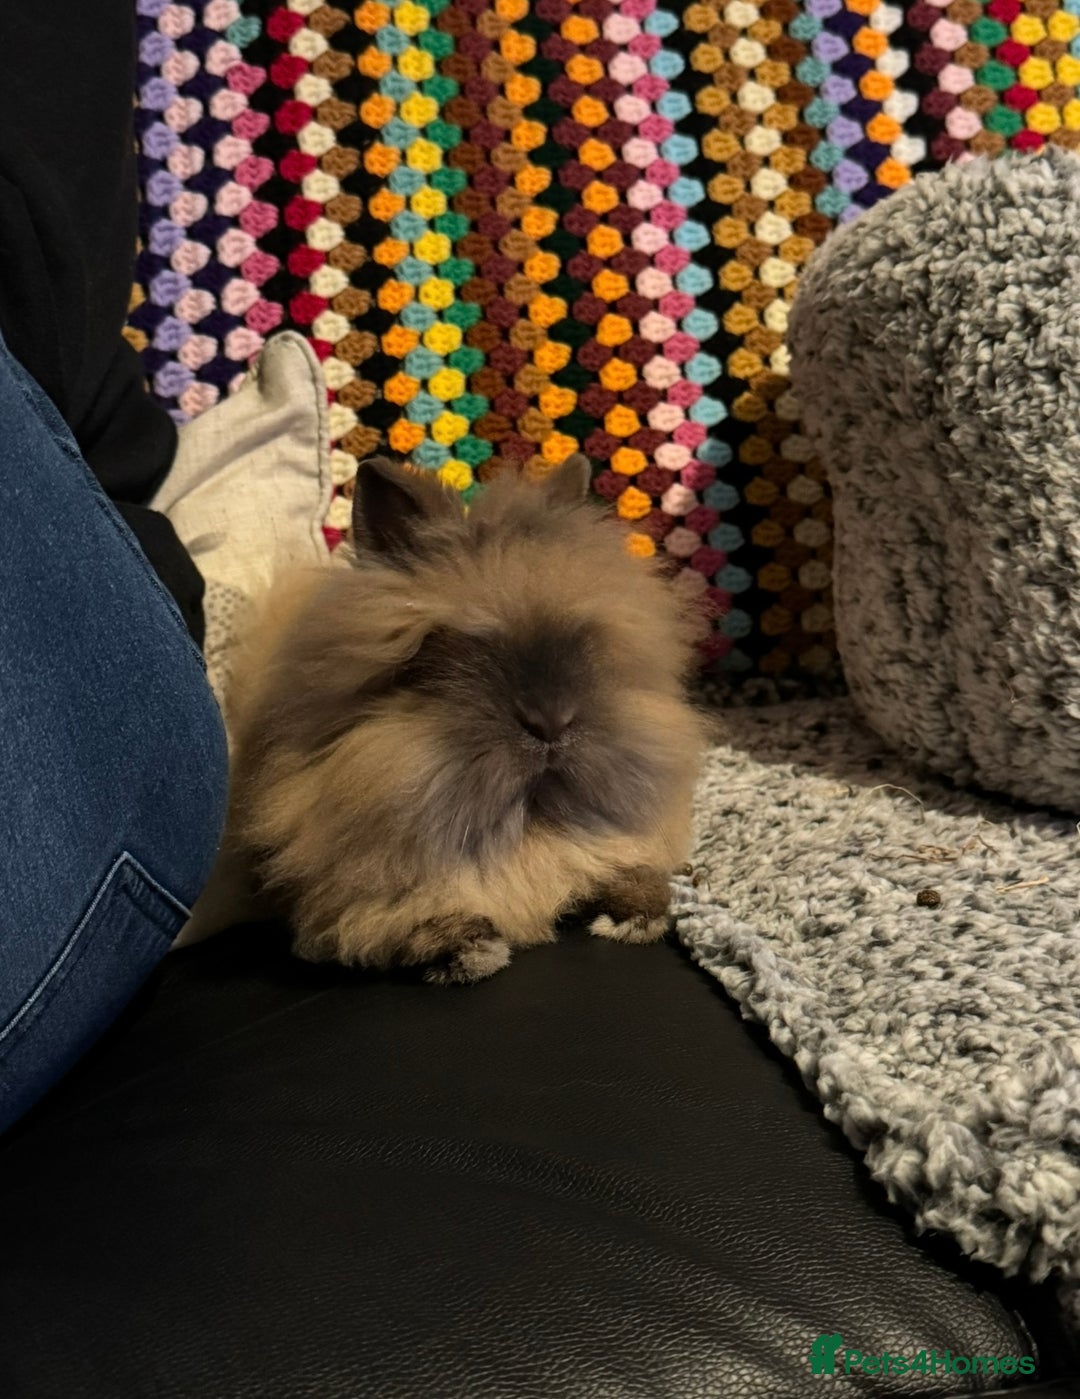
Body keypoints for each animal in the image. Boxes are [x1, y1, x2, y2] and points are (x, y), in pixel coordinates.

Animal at [205, 452, 707, 983]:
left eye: (586, 638)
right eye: (444, 649)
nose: (550, 722)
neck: (525, 828)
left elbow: (630, 870)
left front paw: (634, 915)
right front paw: (470, 950)